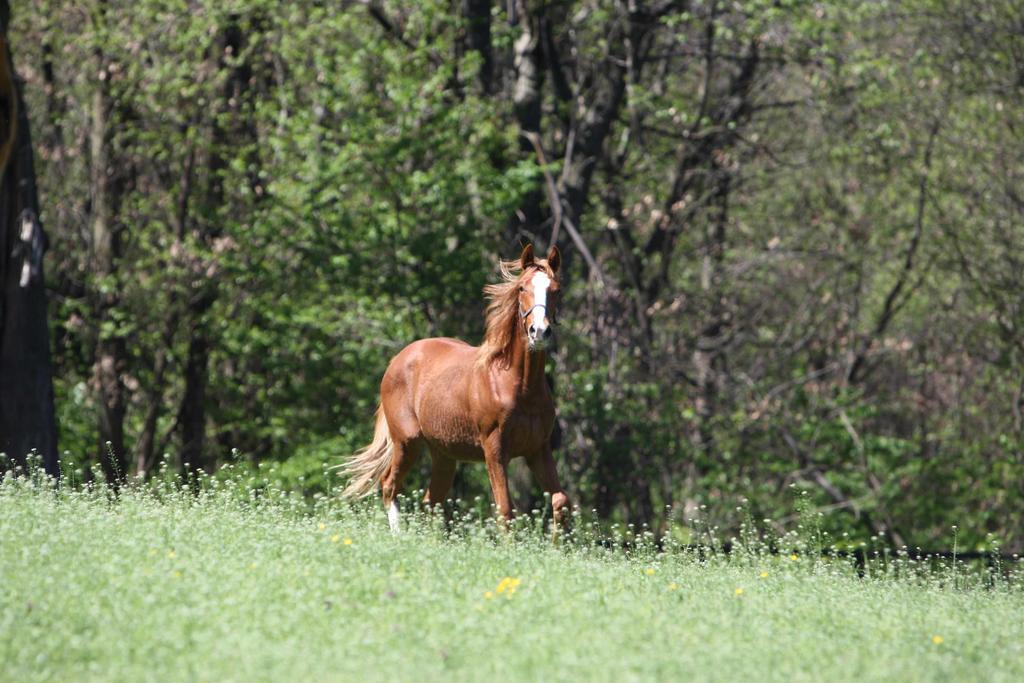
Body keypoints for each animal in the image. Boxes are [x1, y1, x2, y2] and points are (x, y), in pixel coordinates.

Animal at [342, 242, 569, 532]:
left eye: (556, 289)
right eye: (522, 288)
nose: (539, 331)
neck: (520, 387)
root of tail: (397, 360)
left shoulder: (537, 450)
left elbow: (560, 502)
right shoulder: (495, 450)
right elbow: (505, 511)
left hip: (443, 455)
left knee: (431, 500)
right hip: (407, 443)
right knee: (389, 486)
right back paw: (399, 537)